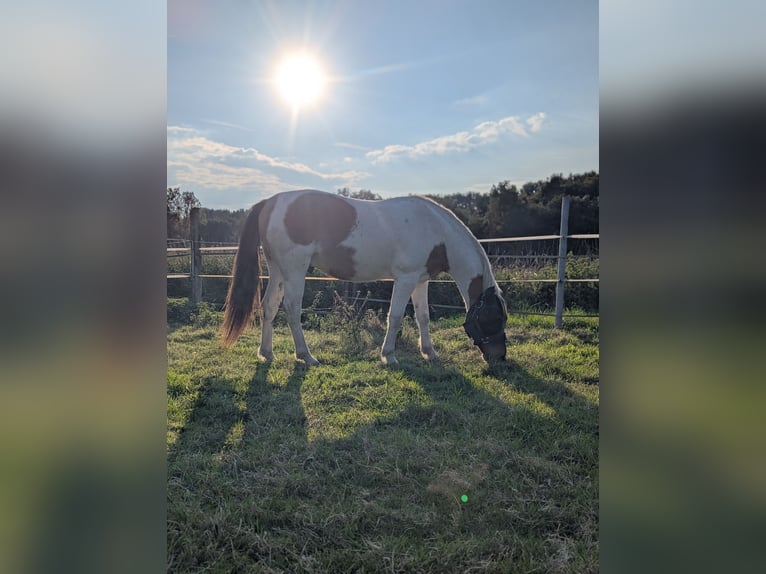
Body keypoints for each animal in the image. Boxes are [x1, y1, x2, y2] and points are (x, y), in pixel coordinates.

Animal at [220, 189, 508, 365]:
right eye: (493, 318)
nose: (499, 357)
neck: (435, 229)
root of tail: (271, 202)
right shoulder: (405, 279)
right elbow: (395, 316)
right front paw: (388, 355)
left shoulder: (420, 280)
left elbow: (423, 316)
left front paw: (429, 352)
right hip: (294, 270)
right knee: (291, 308)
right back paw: (306, 356)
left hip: (278, 270)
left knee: (269, 306)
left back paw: (266, 353)